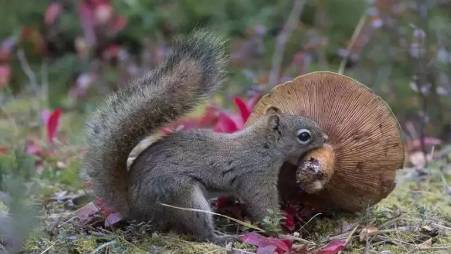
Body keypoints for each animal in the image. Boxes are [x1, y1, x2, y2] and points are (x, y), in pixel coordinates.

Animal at [84, 31, 328, 244]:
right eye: (304, 136)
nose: (325, 138)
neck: (263, 144)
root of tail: (134, 206)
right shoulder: (255, 175)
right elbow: (261, 204)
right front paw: (280, 232)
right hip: (182, 196)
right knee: (201, 231)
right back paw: (222, 238)